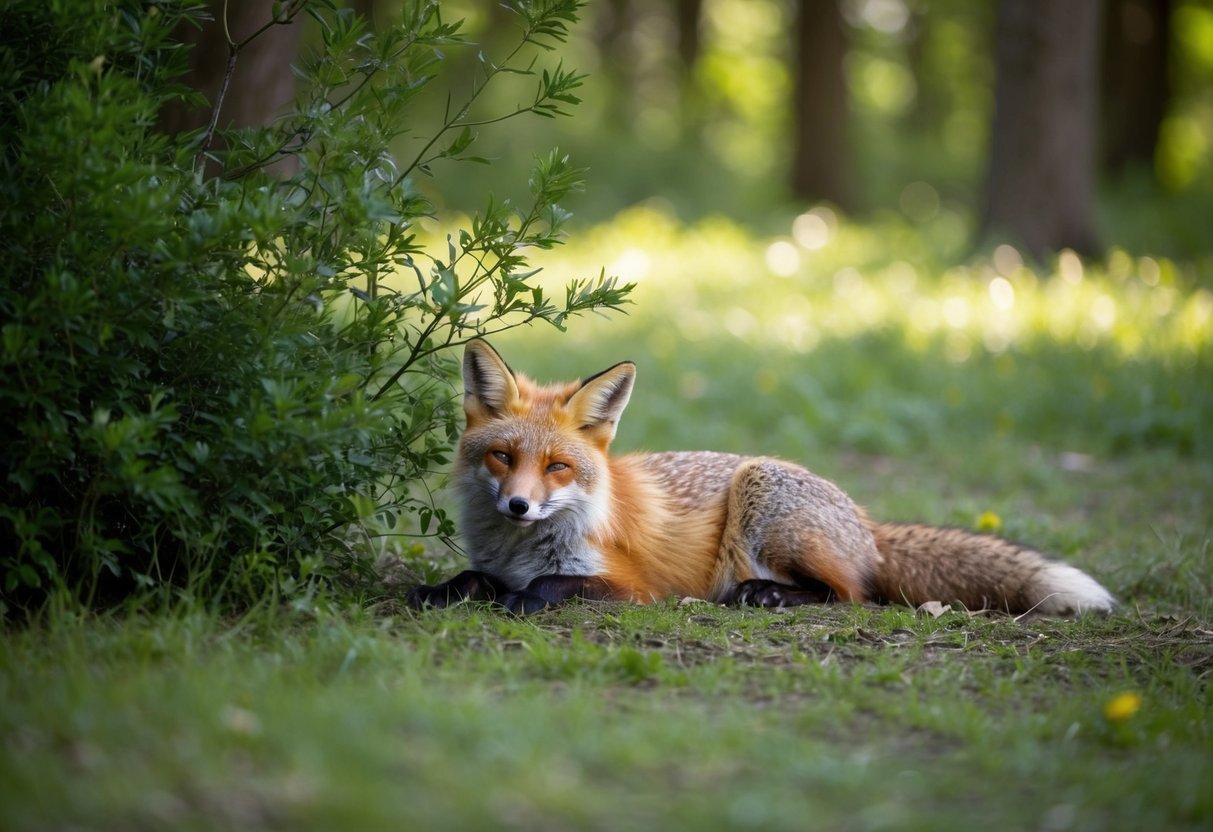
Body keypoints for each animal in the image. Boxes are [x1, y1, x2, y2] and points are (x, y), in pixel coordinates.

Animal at [407, 339, 1116, 617]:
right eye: (502, 458)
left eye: (557, 467)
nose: (519, 506)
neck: (520, 547)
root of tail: (867, 524)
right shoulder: (494, 561)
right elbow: (472, 577)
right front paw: (441, 590)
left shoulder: (636, 586)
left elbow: (551, 584)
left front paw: (521, 599)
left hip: (762, 497)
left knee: (853, 594)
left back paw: (764, 594)